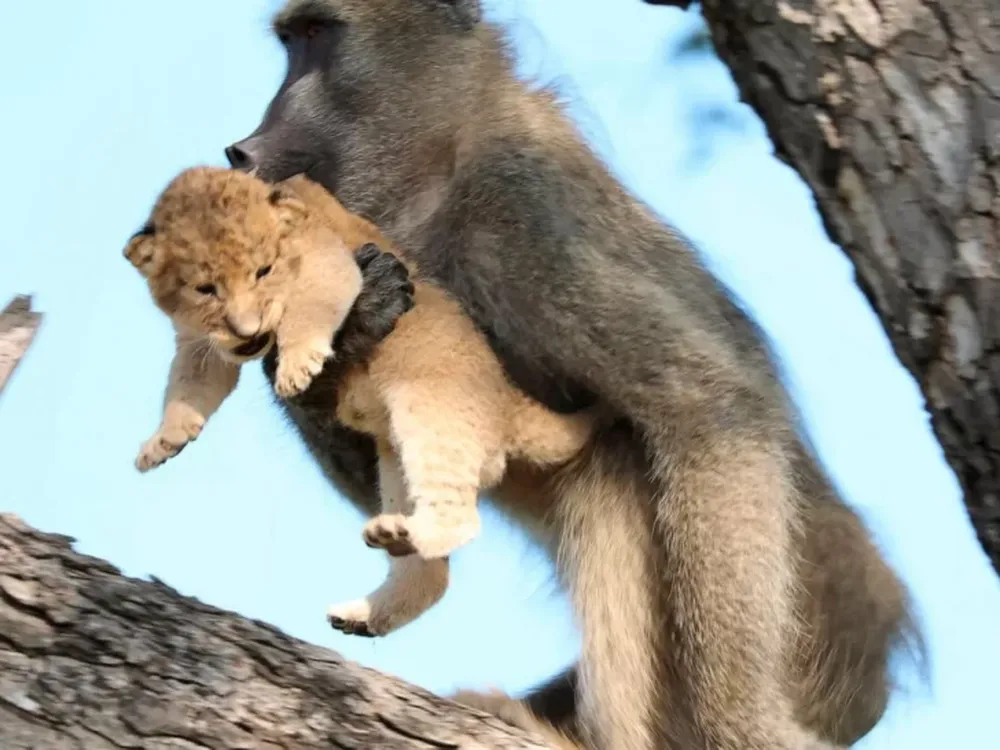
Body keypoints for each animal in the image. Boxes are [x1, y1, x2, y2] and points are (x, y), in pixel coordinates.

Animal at [125, 165, 596, 640]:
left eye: (264, 271)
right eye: (205, 289)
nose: (248, 329)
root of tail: (506, 397)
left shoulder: (330, 262)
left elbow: (309, 307)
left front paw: (298, 365)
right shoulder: (199, 341)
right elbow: (190, 384)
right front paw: (163, 441)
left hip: (429, 412)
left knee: (462, 518)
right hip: (395, 466)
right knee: (432, 574)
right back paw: (367, 606)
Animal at [220, 1, 925, 748]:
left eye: (317, 37)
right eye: (290, 41)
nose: (243, 149)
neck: (440, 164)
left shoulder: (528, 210)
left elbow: (709, 404)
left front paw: (739, 729)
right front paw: (345, 323)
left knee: (616, 460)